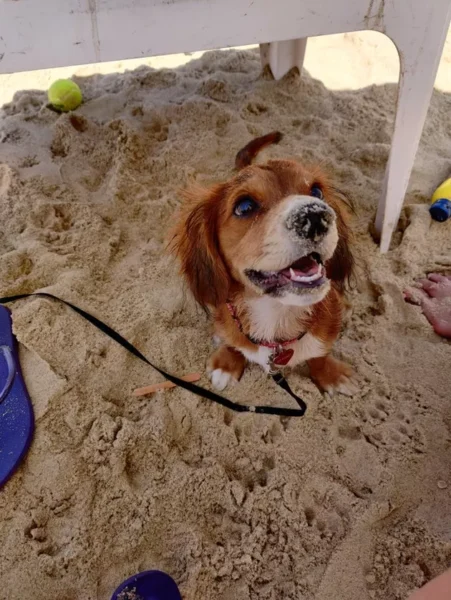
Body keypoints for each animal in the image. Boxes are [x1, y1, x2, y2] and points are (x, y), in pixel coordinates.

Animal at [170, 132, 356, 396]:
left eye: (317, 191)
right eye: (244, 206)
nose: (315, 215)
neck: (276, 314)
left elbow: (320, 354)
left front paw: (331, 375)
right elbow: (232, 341)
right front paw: (227, 362)